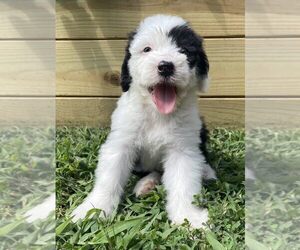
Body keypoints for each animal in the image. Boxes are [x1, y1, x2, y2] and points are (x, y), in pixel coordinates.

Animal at [71, 14, 217, 229]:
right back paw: (146, 184)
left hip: (201, 129)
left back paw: (205, 172)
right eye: (147, 49)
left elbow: (184, 183)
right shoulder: (121, 142)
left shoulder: (182, 149)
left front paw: (189, 217)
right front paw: (94, 209)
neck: (157, 113)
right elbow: (109, 177)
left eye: (184, 50)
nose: (166, 66)